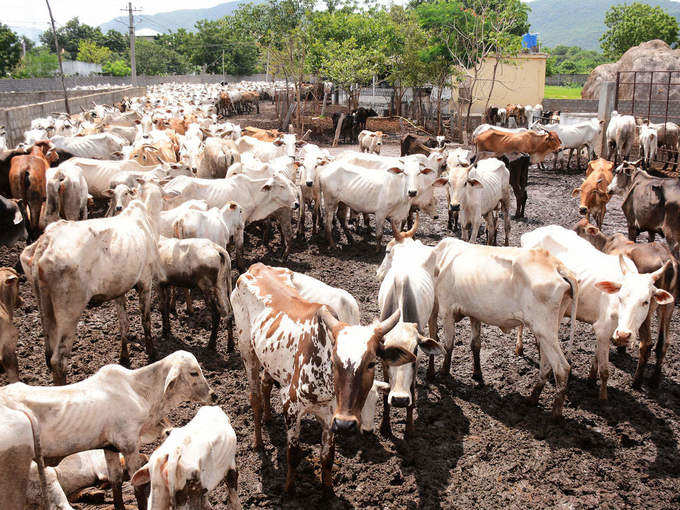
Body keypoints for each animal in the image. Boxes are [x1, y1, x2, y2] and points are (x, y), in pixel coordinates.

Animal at [0, 348, 212, 510]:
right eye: (194, 372)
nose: (214, 395)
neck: (139, 390)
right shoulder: (129, 446)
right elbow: (138, 487)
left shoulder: (109, 447)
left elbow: (115, 482)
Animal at [232, 262, 414, 494]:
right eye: (334, 361)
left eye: (372, 363)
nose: (350, 425)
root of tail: (256, 267)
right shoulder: (291, 408)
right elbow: (293, 455)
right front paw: (289, 491)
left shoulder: (331, 418)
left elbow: (327, 457)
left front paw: (328, 492)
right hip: (247, 349)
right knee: (254, 396)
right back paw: (258, 442)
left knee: (266, 383)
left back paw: (268, 418)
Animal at [524, 226, 672, 398]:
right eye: (620, 297)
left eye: (646, 301)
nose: (623, 335)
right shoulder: (603, 328)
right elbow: (605, 371)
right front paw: (603, 398)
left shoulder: (605, 332)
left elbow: (597, 358)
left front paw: (591, 380)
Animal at [572, 217, 680, 388]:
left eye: (578, 231)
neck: (607, 244)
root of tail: (668, 262)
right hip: (668, 305)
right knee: (663, 343)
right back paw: (654, 380)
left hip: (647, 312)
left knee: (646, 343)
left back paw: (636, 381)